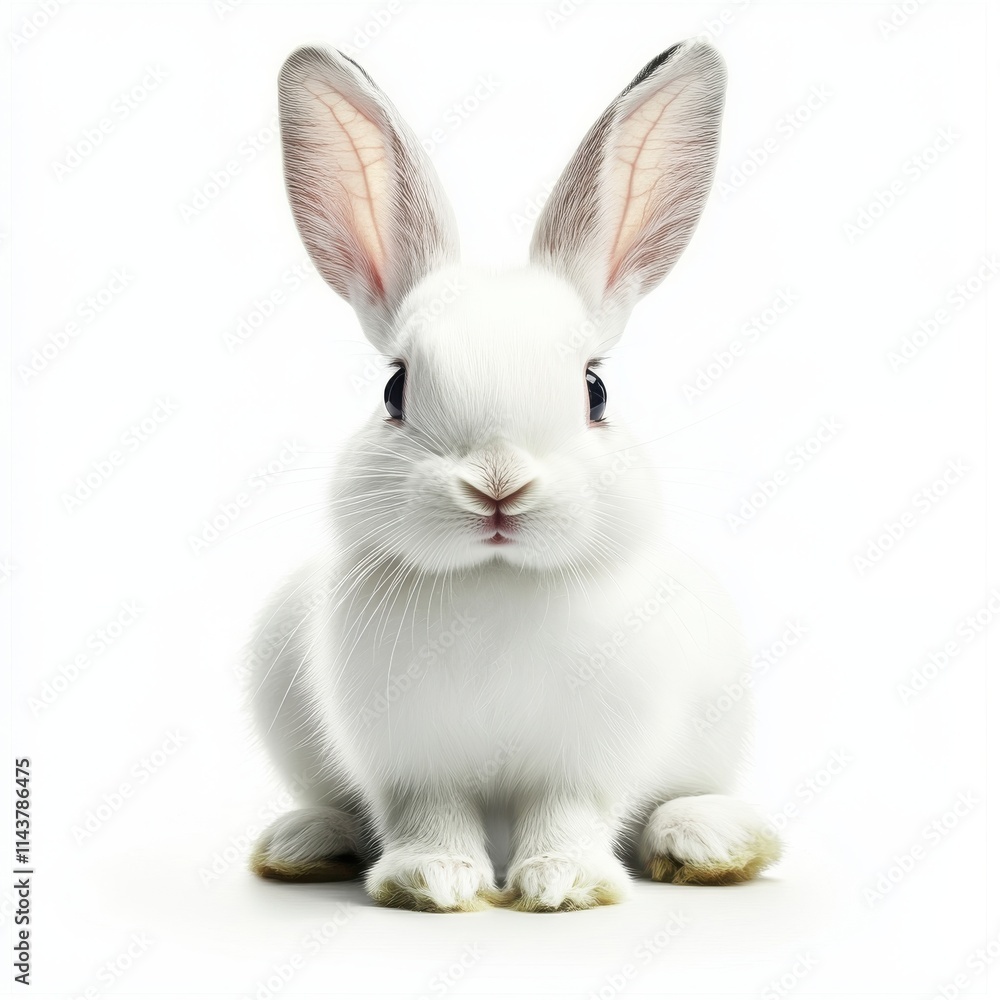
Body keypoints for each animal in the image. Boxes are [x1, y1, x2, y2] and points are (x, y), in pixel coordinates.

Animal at [246, 36, 781, 912]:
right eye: (394, 389)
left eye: (595, 390)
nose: (498, 486)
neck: (495, 581)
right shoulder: (410, 761)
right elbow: (429, 815)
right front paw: (434, 880)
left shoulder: (584, 761)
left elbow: (569, 814)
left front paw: (560, 883)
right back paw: (304, 843)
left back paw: (710, 841)